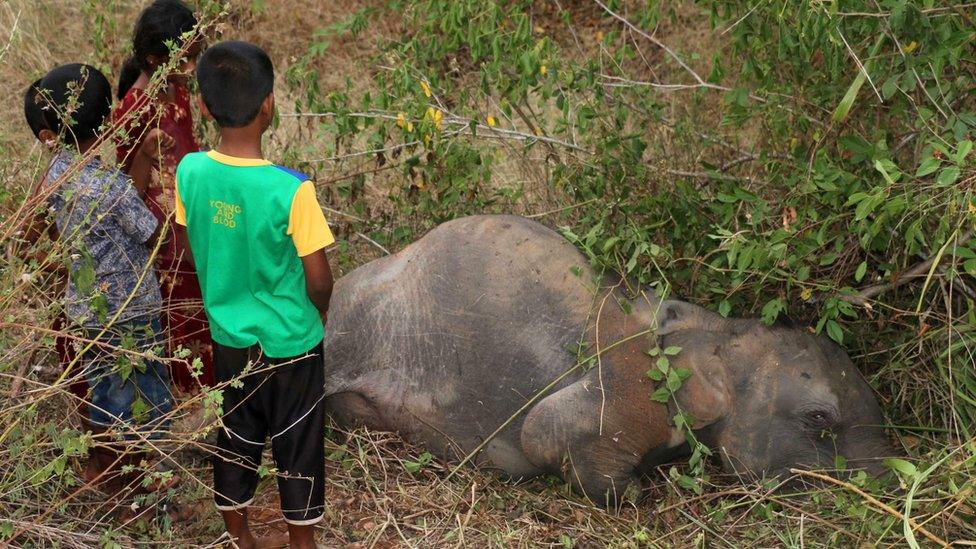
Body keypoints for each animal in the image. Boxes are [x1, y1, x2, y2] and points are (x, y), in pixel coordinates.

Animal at [322, 214, 900, 500]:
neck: (717, 332)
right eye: (819, 420)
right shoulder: (628, 393)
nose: (896, 485)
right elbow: (542, 431)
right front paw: (642, 491)